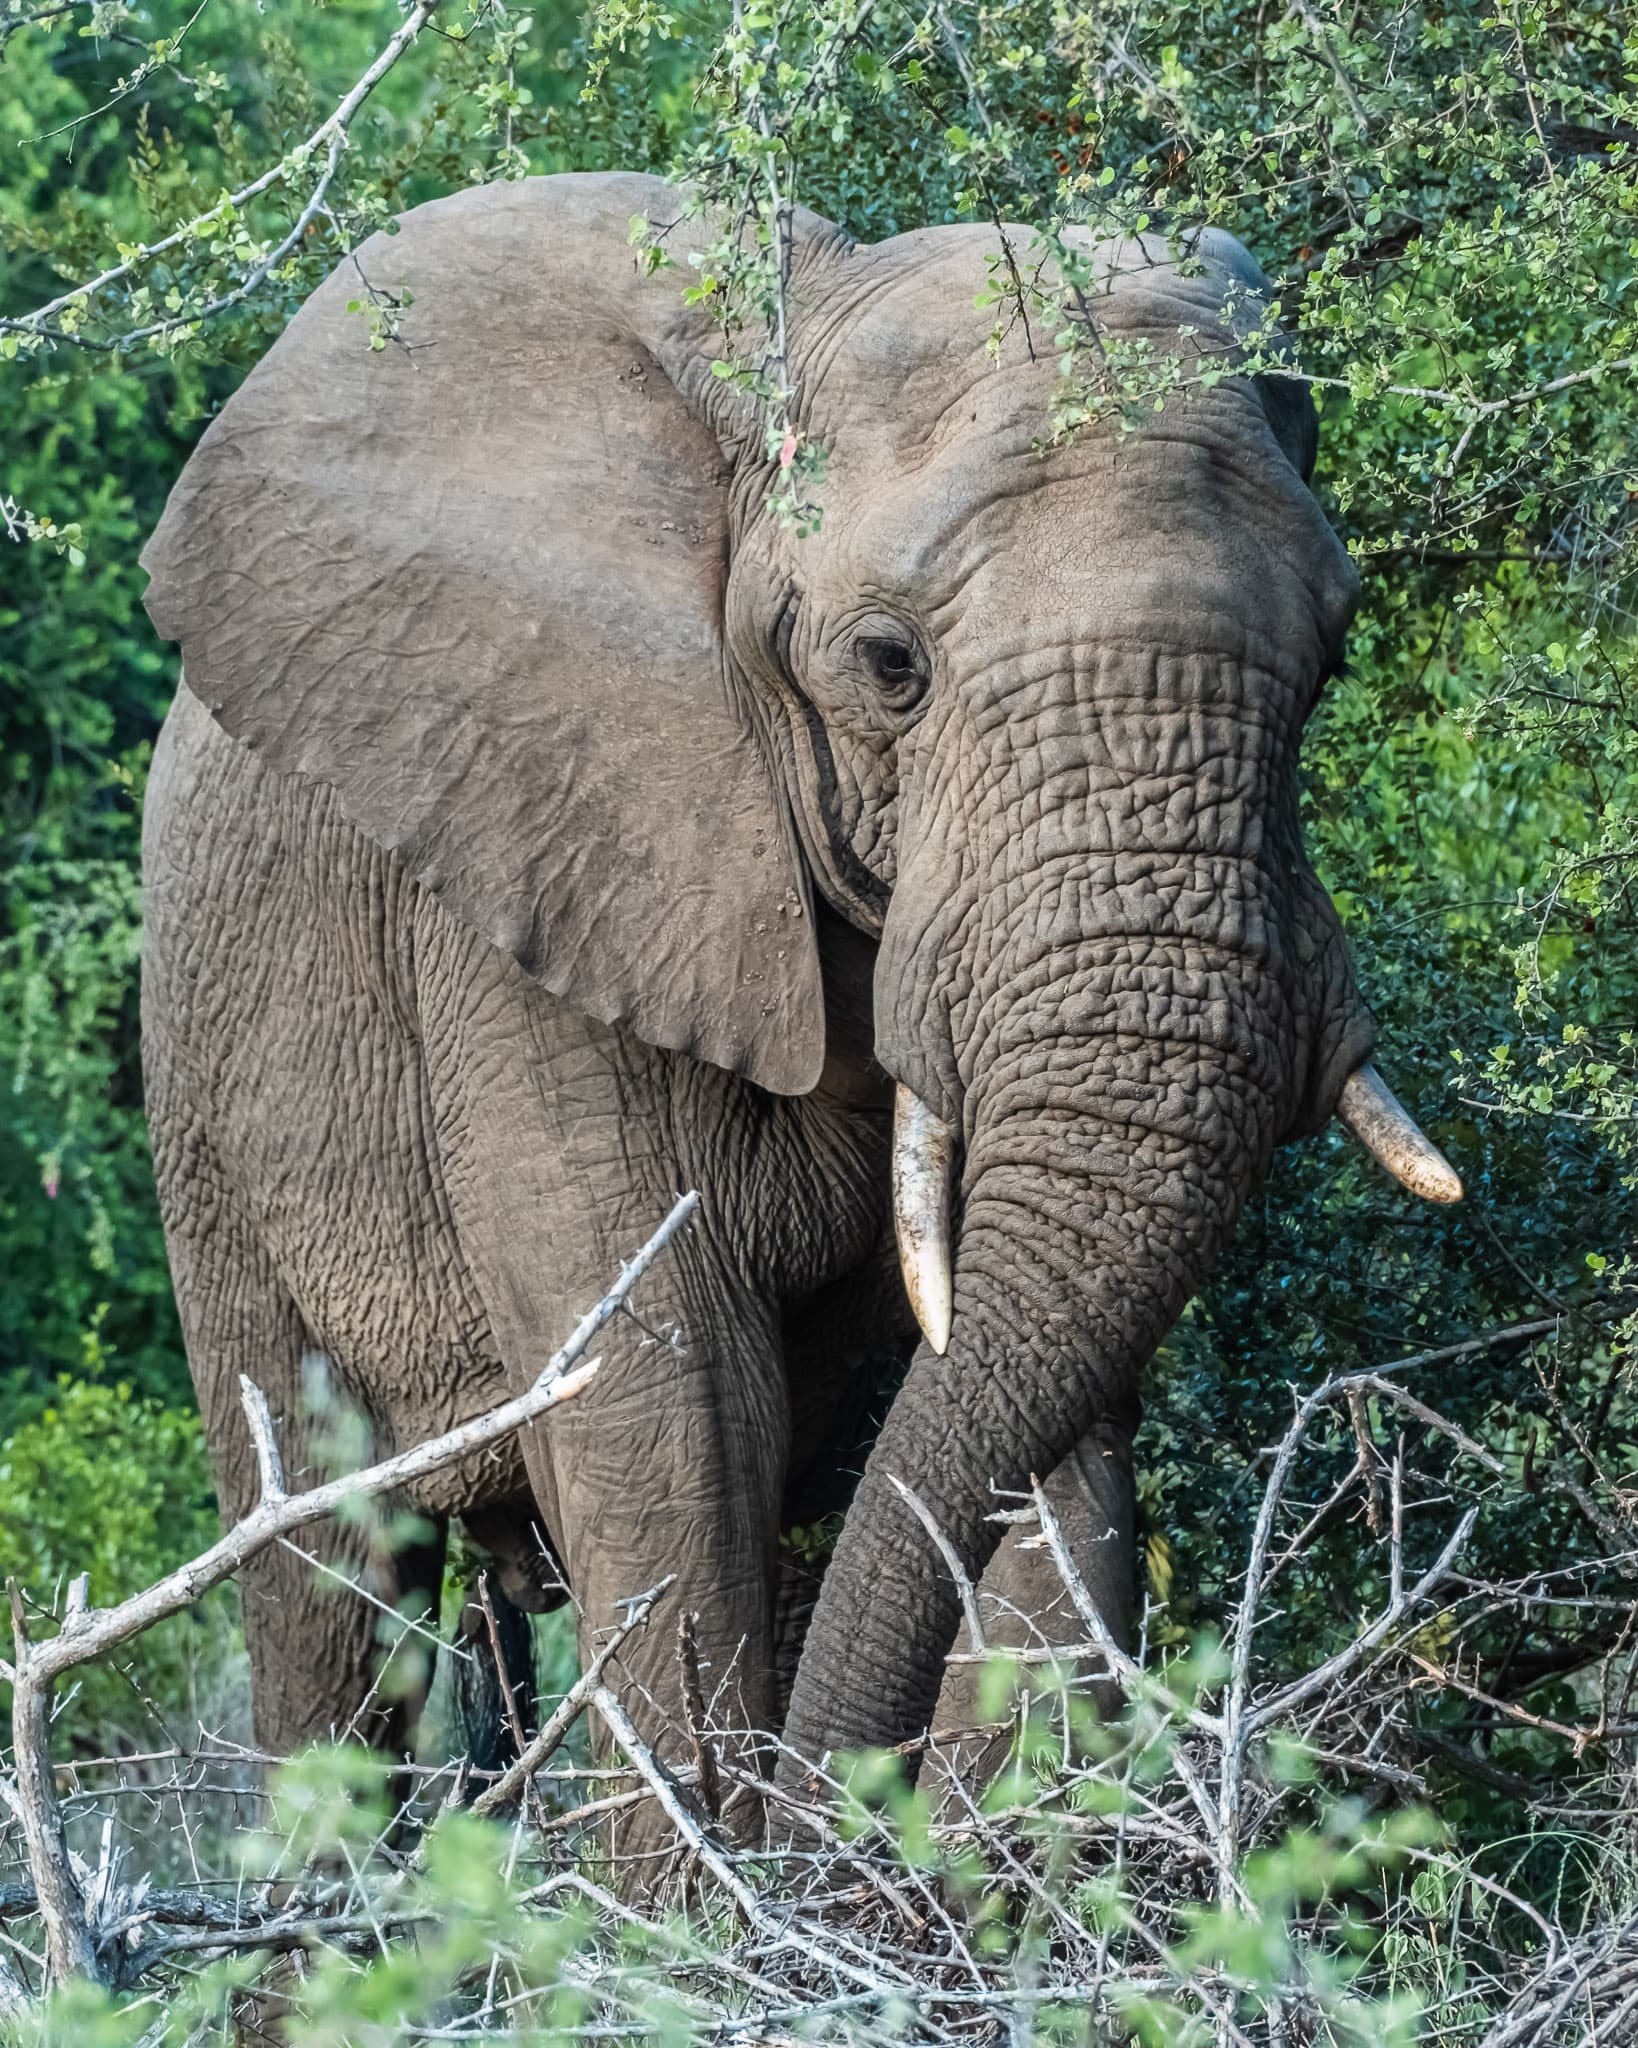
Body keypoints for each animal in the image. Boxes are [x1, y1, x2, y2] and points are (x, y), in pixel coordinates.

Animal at [138, 171, 1461, 1852]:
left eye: (1334, 656)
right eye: (886, 666)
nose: (827, 1819)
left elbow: (1050, 1458)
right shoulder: (537, 869)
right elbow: (677, 1407)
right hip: (207, 1093)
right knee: (327, 1584)